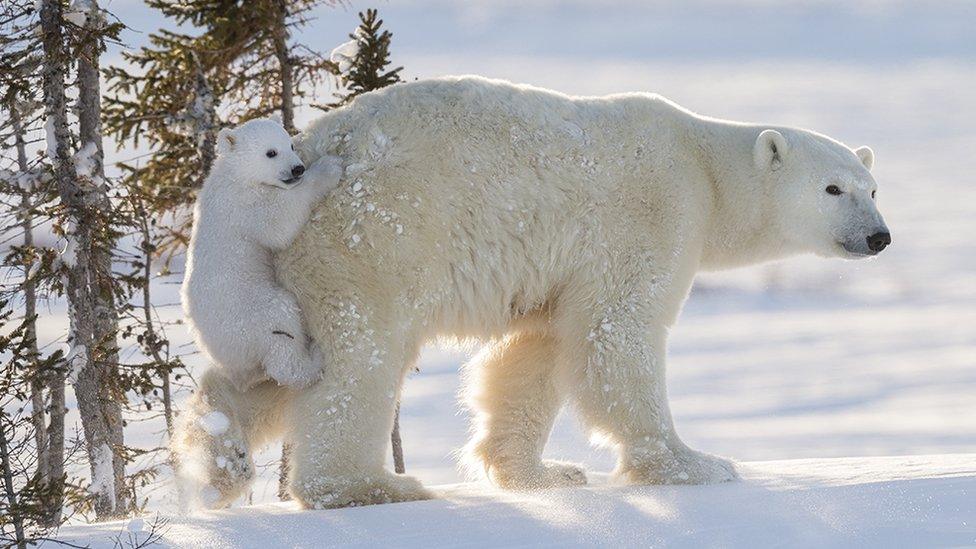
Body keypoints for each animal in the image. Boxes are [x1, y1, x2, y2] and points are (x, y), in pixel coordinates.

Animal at [181, 116, 346, 390]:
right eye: (271, 152)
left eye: (290, 144)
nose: (297, 169)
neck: (235, 175)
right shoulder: (245, 206)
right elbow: (280, 222)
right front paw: (329, 166)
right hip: (253, 313)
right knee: (281, 327)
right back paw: (313, 359)